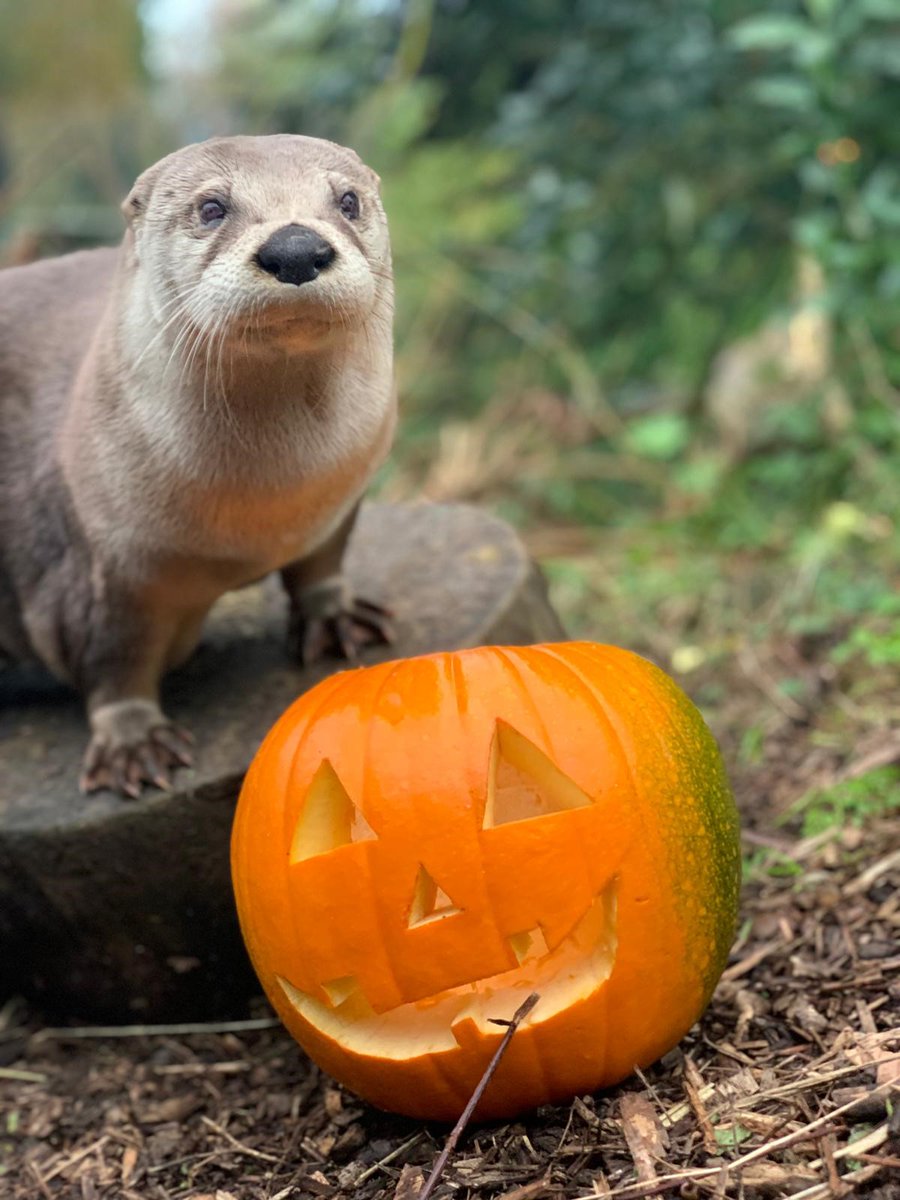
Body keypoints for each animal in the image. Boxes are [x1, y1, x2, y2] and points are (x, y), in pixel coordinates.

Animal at [0, 134, 396, 797]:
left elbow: (323, 562)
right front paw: (133, 740)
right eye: (212, 207)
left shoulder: (342, 497)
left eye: (348, 200)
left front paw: (335, 617)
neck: (271, 504)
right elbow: (112, 660)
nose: (295, 248)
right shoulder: (100, 569)